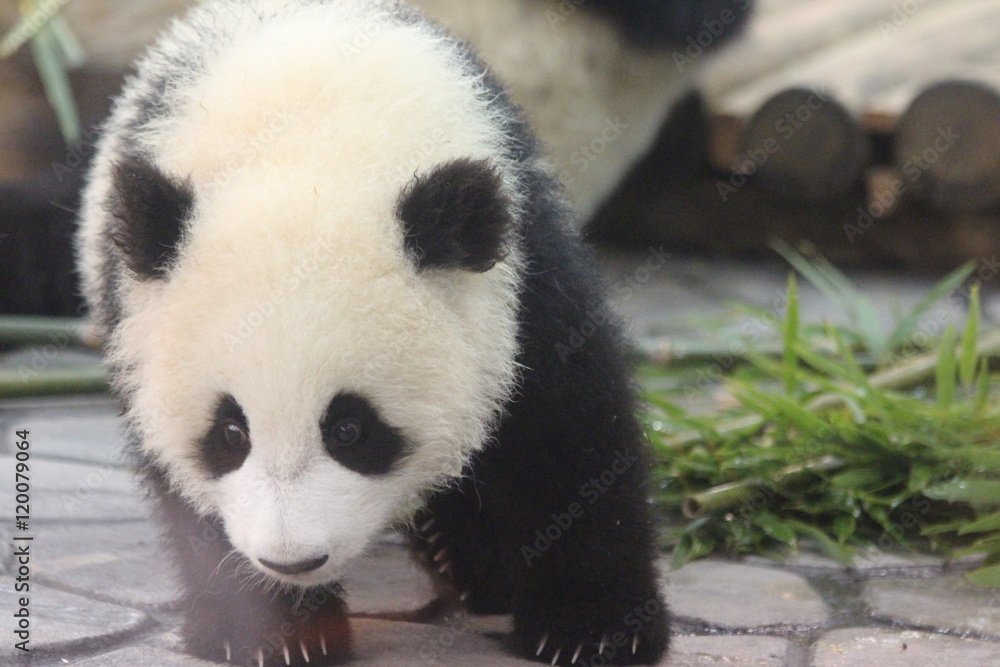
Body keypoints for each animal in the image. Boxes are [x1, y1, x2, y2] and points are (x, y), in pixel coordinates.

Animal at [76, 1, 667, 665]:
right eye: (230, 432)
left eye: (351, 429)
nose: (292, 560)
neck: (313, 148)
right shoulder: (137, 321)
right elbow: (179, 489)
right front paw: (270, 630)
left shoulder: (524, 277)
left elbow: (566, 438)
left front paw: (593, 629)